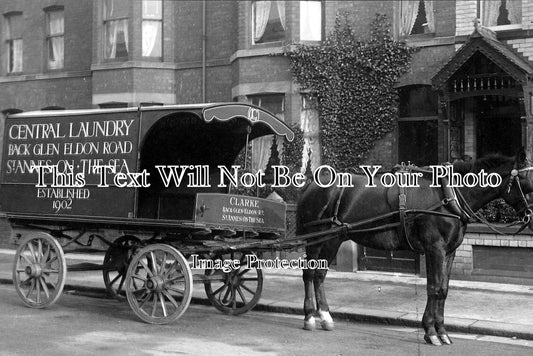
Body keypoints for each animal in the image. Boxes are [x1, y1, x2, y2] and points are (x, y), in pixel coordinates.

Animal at [296, 149, 532, 344]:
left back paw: (318, 316)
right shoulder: (434, 249)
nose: (530, 218)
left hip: (330, 240)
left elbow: (443, 290)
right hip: (323, 239)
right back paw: (315, 317)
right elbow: (434, 288)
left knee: (315, 274)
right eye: (527, 181)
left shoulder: (449, 252)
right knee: (314, 274)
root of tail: (313, 183)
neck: (449, 194)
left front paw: (441, 331)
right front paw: (431, 331)